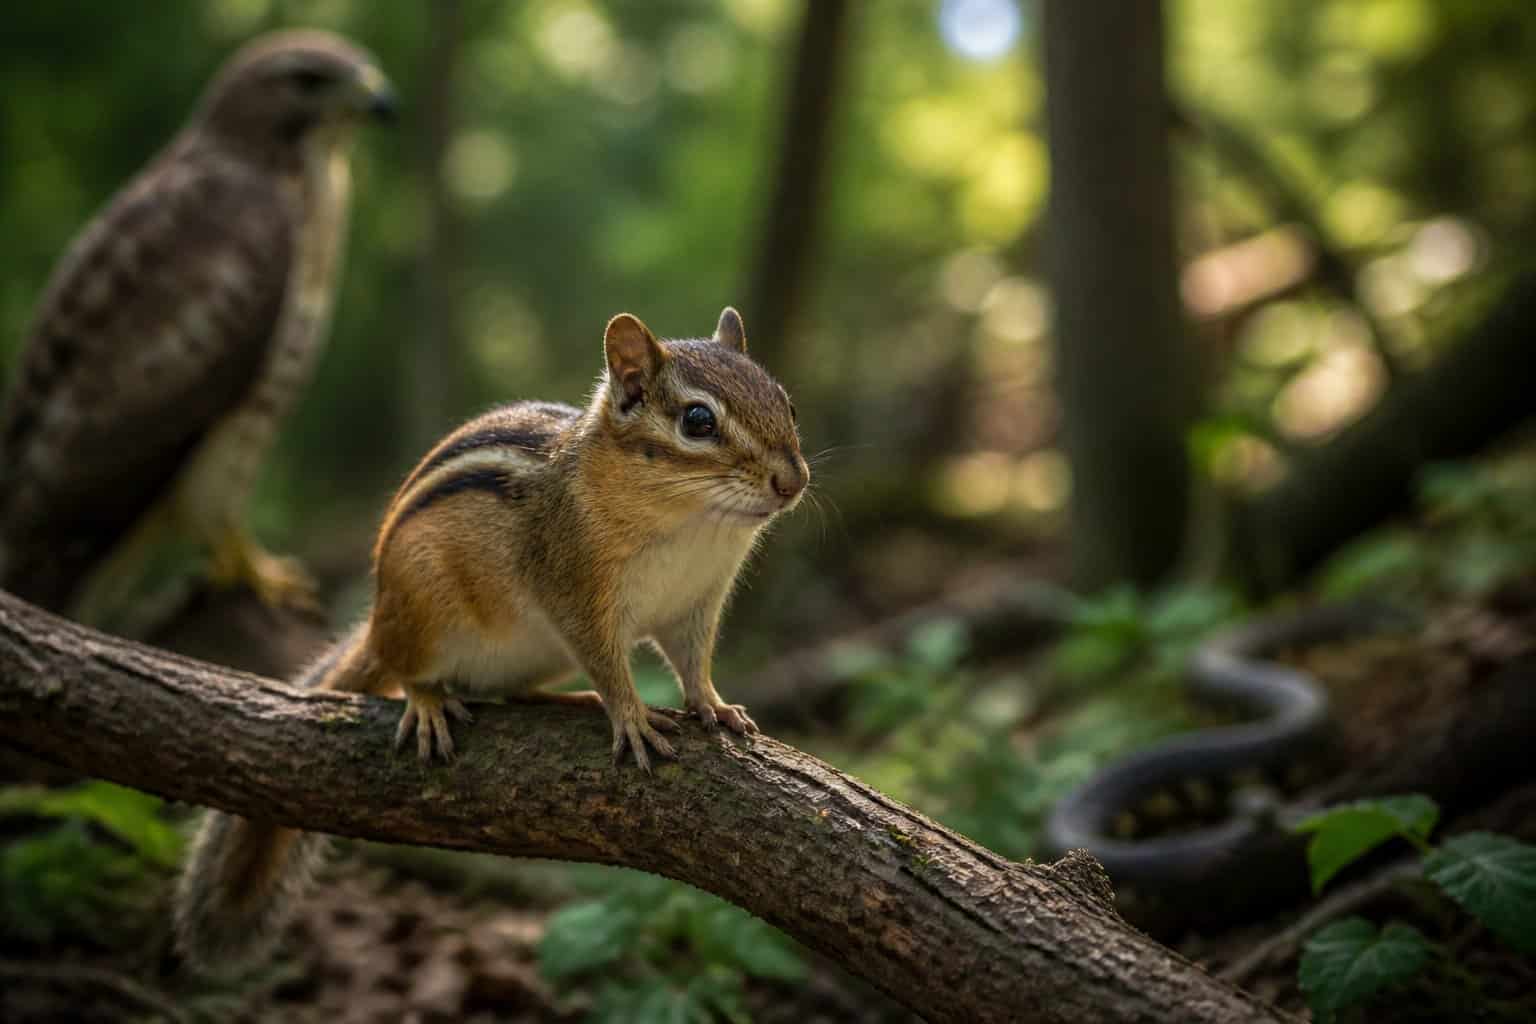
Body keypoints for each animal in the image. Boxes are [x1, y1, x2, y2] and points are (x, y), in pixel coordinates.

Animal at [174, 306, 808, 970]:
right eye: (698, 421)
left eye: (787, 403)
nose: (793, 481)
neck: (691, 525)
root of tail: (378, 620)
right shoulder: (576, 594)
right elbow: (609, 663)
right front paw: (631, 716)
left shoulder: (696, 602)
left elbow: (693, 662)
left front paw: (713, 704)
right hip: (424, 614)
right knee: (404, 665)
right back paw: (429, 703)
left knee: (510, 692)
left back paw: (567, 700)